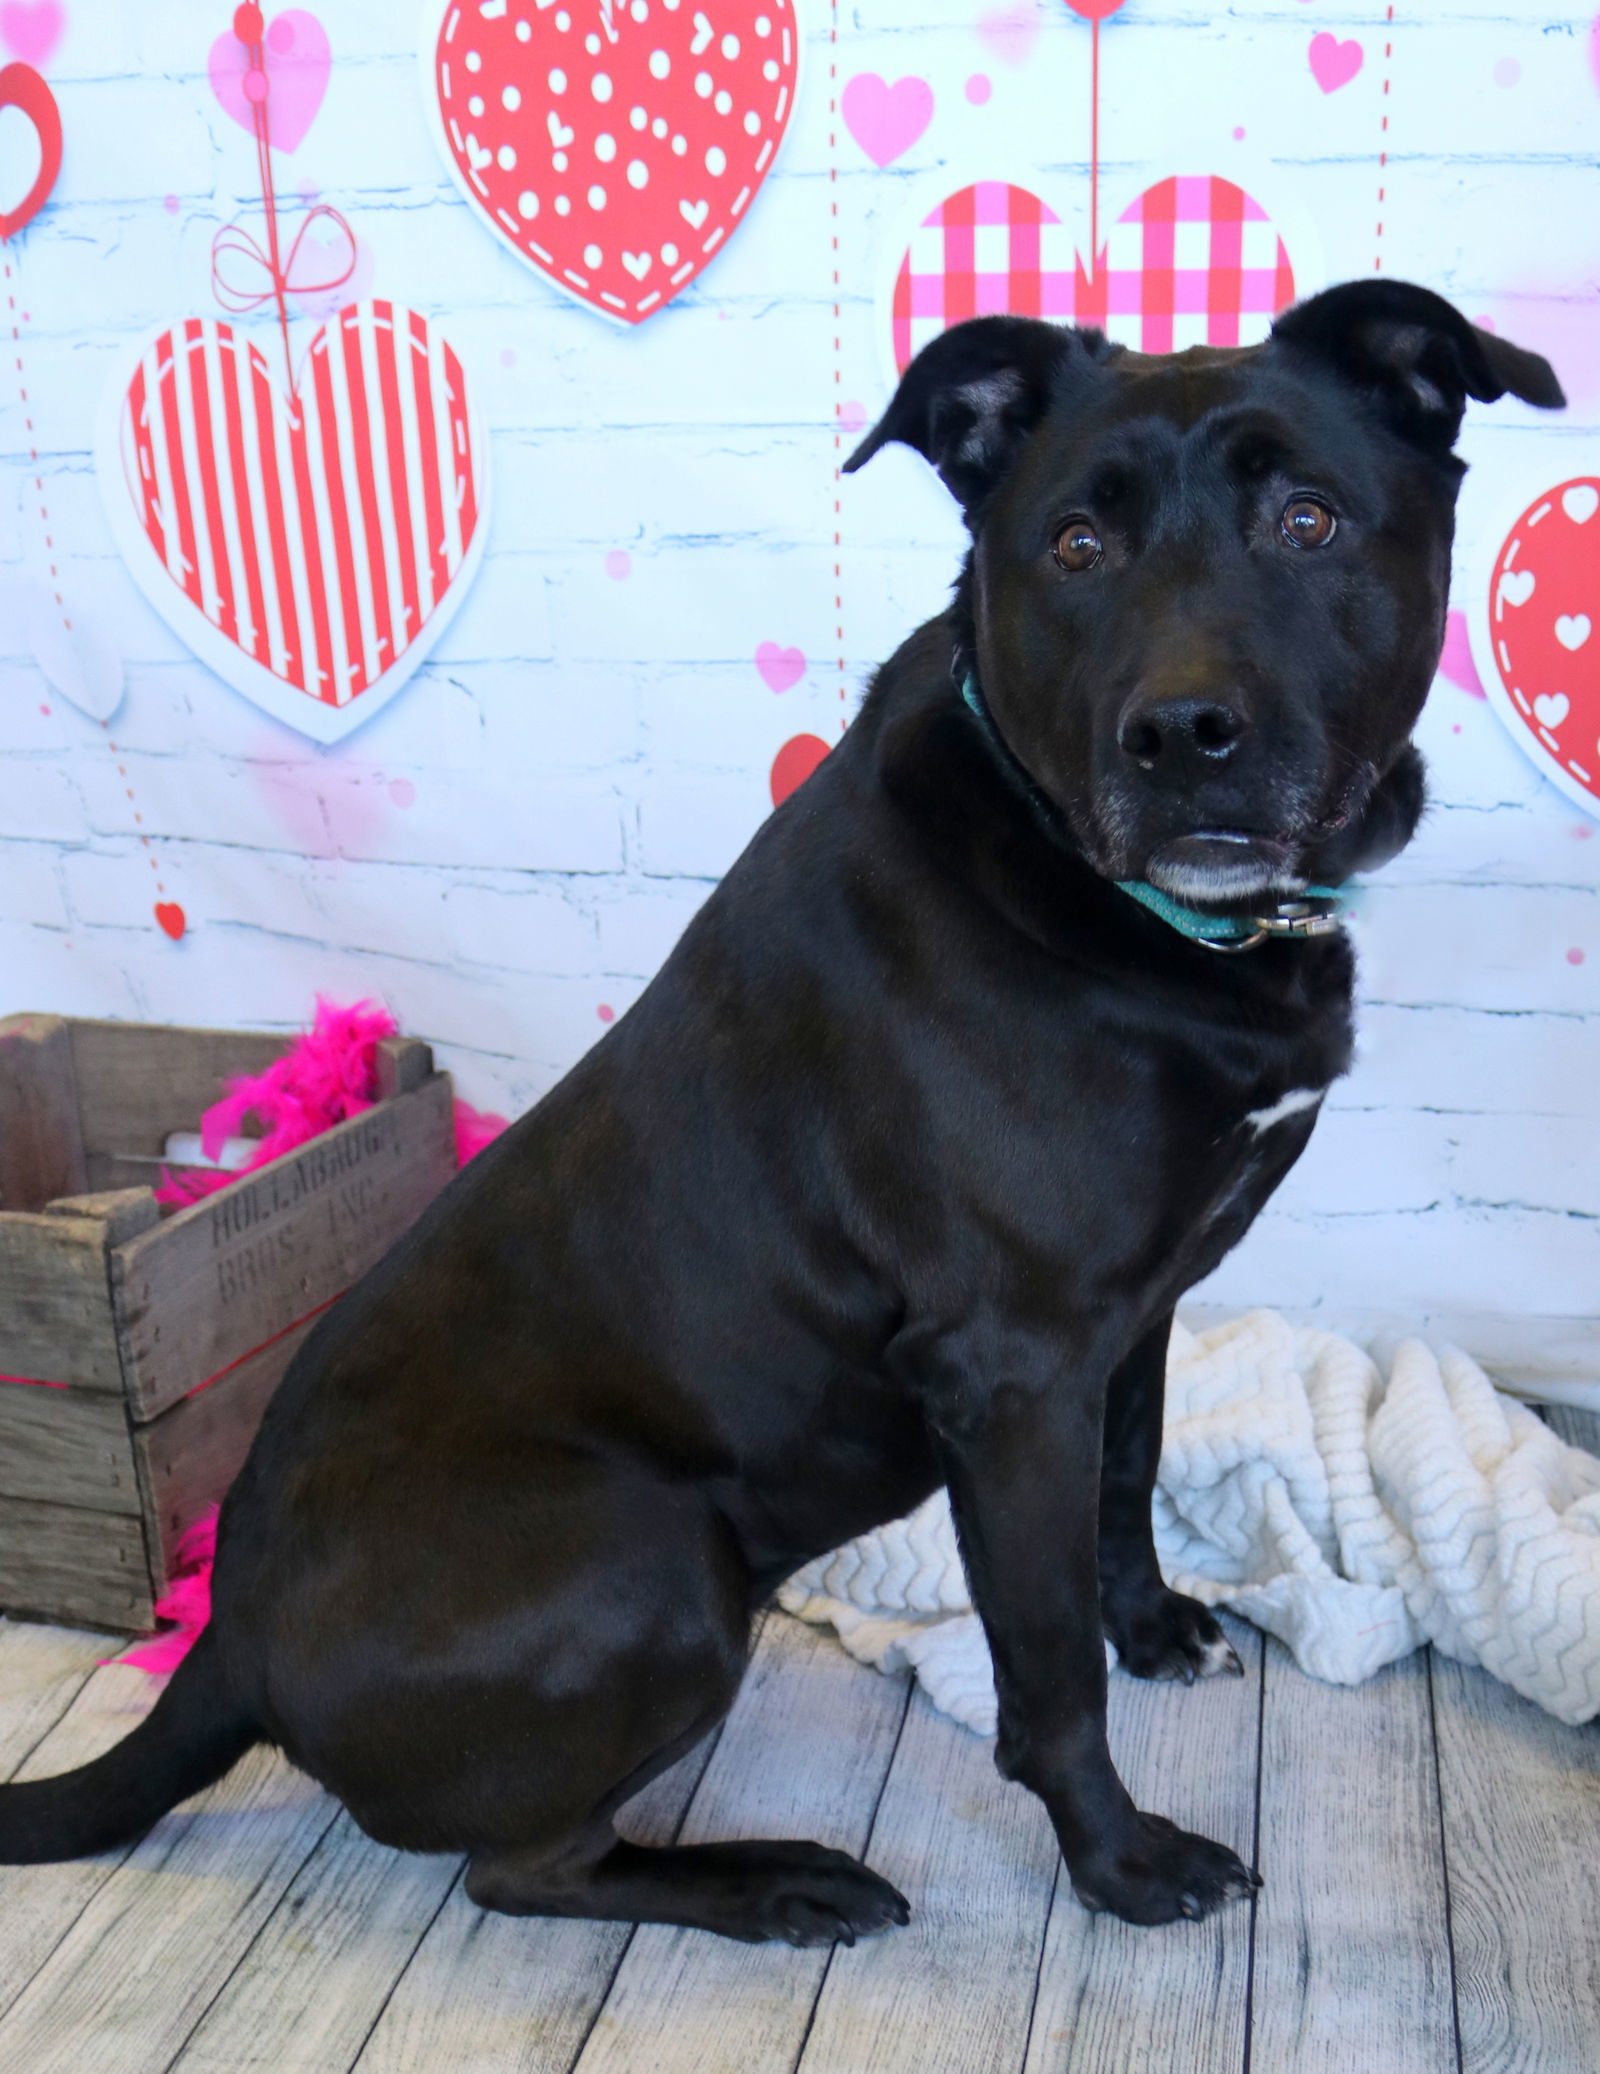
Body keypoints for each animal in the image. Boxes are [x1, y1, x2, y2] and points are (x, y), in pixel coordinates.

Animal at [0, 279, 1560, 1941]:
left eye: (1311, 520)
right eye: (1076, 545)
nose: (1182, 732)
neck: (1113, 895)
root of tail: (223, 1632)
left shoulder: (1132, 1307)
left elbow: (1127, 1481)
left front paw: (1154, 1628)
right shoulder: (1015, 1369)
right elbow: (1047, 1670)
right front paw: (1123, 1862)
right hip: (658, 1567)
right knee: (517, 1868)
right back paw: (776, 1880)